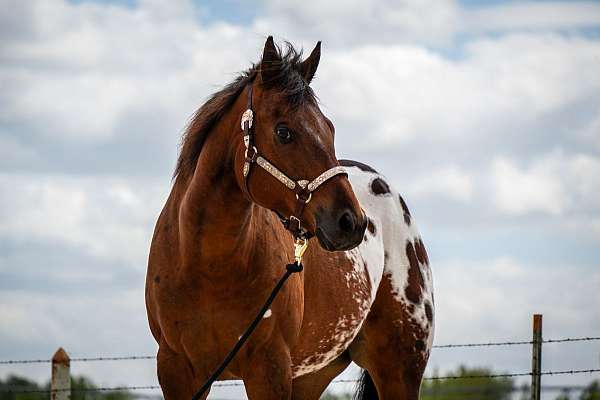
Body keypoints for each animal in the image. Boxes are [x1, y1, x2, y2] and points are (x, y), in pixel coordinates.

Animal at [145, 36, 436, 398]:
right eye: (284, 132)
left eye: (330, 128)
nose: (351, 223)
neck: (206, 267)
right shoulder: (175, 372)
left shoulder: (269, 368)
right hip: (312, 374)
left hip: (400, 369)